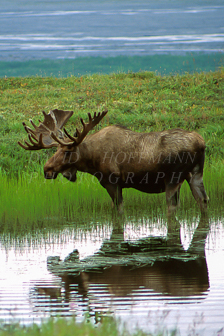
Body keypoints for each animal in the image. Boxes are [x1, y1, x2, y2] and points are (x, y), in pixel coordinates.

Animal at [18, 109, 209, 214]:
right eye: (55, 150)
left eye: (67, 151)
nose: (47, 169)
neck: (91, 161)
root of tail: (201, 143)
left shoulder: (111, 181)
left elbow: (118, 212)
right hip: (195, 174)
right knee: (203, 200)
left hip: (173, 178)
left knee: (172, 207)